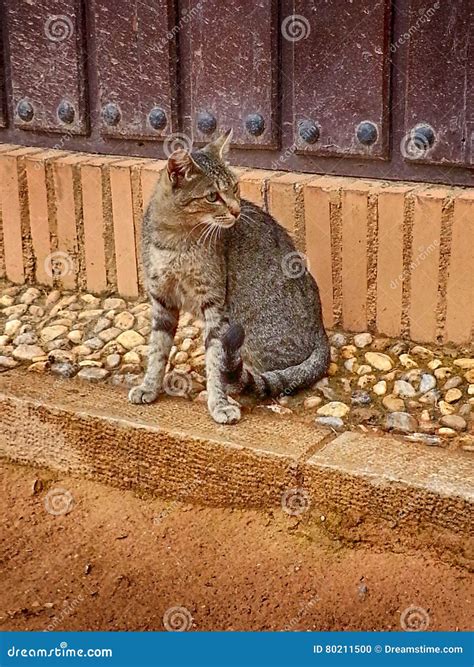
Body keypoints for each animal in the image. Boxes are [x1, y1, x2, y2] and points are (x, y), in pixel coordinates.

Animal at [129, 130, 330, 422]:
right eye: (213, 196)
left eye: (234, 188)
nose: (236, 210)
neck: (176, 240)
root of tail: (321, 333)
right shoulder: (162, 300)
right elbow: (157, 349)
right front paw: (149, 387)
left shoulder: (215, 305)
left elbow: (215, 358)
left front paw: (219, 403)